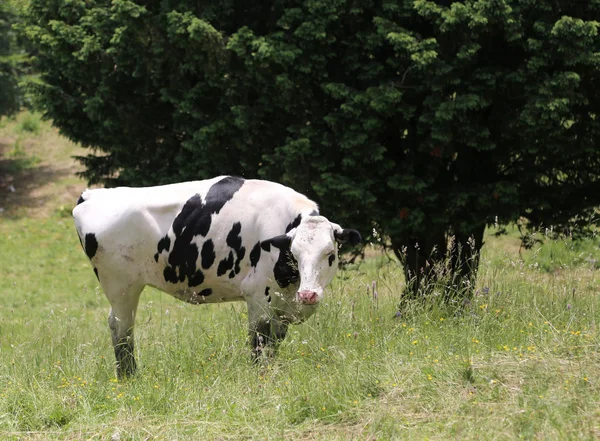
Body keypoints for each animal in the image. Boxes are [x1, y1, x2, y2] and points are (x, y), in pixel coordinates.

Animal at [72, 175, 358, 378]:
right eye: (294, 255)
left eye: (330, 253)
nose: (308, 294)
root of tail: (93, 194)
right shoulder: (258, 295)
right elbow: (259, 341)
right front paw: (261, 378)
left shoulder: (282, 305)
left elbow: (274, 343)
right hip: (121, 286)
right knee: (121, 327)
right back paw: (129, 377)